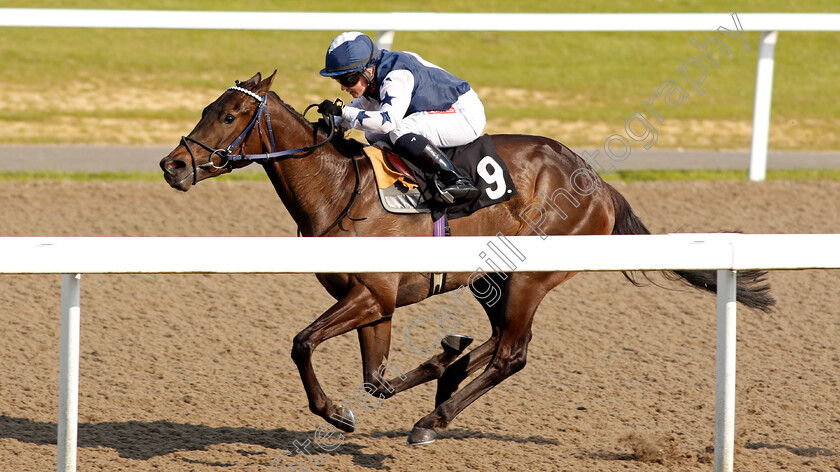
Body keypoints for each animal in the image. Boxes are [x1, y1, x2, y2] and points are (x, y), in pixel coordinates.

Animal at [159, 72, 776, 444]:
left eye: (231, 115)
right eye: (209, 107)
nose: (173, 165)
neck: (339, 190)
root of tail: (598, 183)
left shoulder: (372, 293)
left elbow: (303, 343)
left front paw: (335, 411)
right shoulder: (376, 301)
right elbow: (375, 378)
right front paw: (426, 370)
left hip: (529, 277)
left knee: (511, 354)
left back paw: (433, 419)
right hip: (491, 277)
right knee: (500, 341)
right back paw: (448, 371)